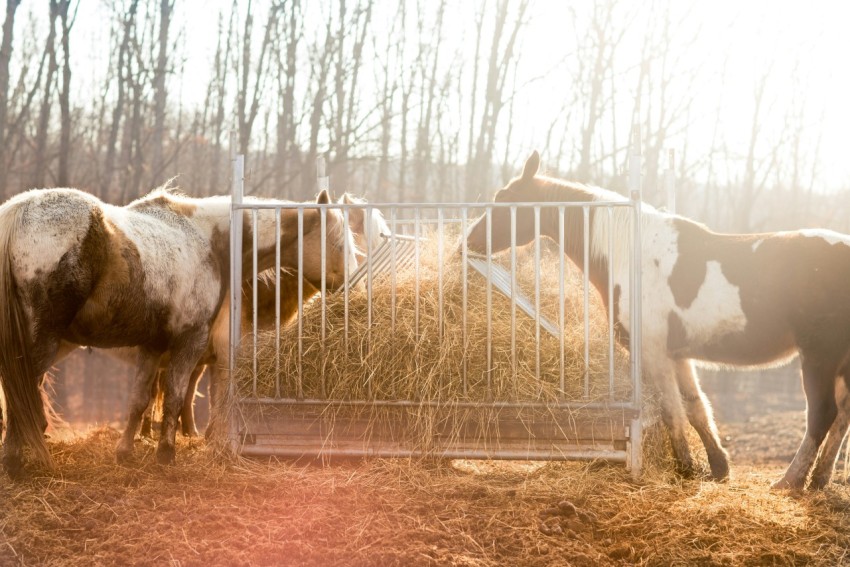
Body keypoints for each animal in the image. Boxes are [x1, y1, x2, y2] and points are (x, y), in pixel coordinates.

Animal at [0, 186, 356, 477]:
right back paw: (17, 460)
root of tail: (18, 213)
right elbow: (175, 395)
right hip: (44, 343)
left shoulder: (153, 346)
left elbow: (139, 400)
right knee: (22, 396)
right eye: (339, 244)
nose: (353, 285)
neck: (209, 241)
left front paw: (125, 452)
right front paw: (166, 454)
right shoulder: (191, 342)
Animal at [466, 151, 850, 490]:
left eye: (504, 199)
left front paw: (686, 466)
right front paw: (718, 467)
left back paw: (791, 481)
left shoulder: (654, 353)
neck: (630, 255)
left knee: (822, 415)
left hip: (819, 357)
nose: (470, 240)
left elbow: (671, 412)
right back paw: (819, 479)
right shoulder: (678, 356)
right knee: (843, 415)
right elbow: (696, 408)